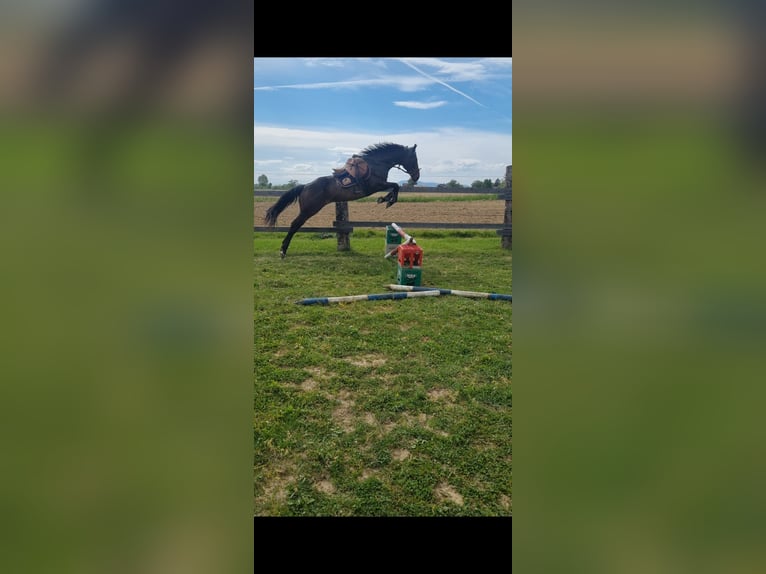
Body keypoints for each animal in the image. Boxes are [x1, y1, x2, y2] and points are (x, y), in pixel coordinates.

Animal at [264, 142, 420, 258]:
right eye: (414, 159)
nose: (416, 177)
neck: (378, 163)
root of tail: (305, 186)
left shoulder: (379, 185)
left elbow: (394, 187)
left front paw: (384, 199)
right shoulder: (375, 185)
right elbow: (395, 186)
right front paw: (388, 200)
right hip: (309, 210)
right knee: (294, 225)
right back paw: (283, 251)